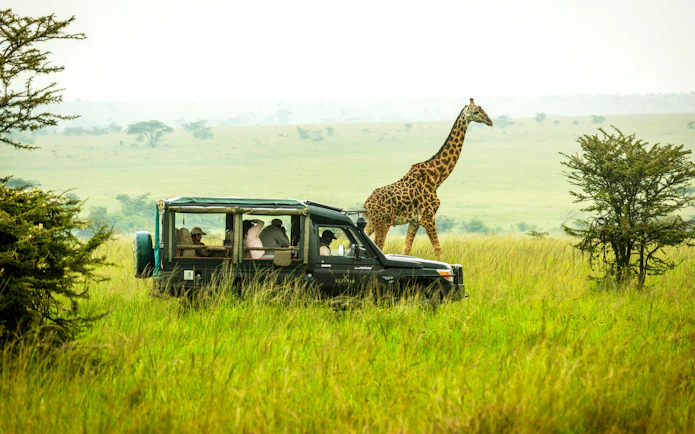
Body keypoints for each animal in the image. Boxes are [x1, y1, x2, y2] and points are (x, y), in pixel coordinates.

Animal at [363, 99, 493, 261]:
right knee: (379, 246)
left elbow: (406, 249)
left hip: (371, 223)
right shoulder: (428, 216)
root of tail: (366, 205)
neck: (437, 177)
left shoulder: (414, 221)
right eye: (475, 111)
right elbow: (437, 247)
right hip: (382, 223)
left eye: (482, 109)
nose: (490, 121)